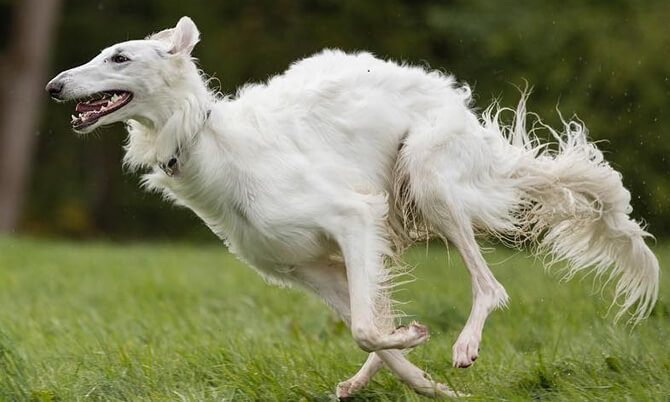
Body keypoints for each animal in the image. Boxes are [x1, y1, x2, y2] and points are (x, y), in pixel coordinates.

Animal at [47, 16, 660, 398]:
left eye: (119, 57)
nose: (53, 86)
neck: (213, 144)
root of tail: (449, 95)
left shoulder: (353, 217)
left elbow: (368, 328)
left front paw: (420, 347)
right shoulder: (307, 269)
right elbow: (370, 329)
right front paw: (425, 382)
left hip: (428, 179)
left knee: (489, 286)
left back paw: (463, 344)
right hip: (393, 219)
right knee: (384, 306)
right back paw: (373, 377)